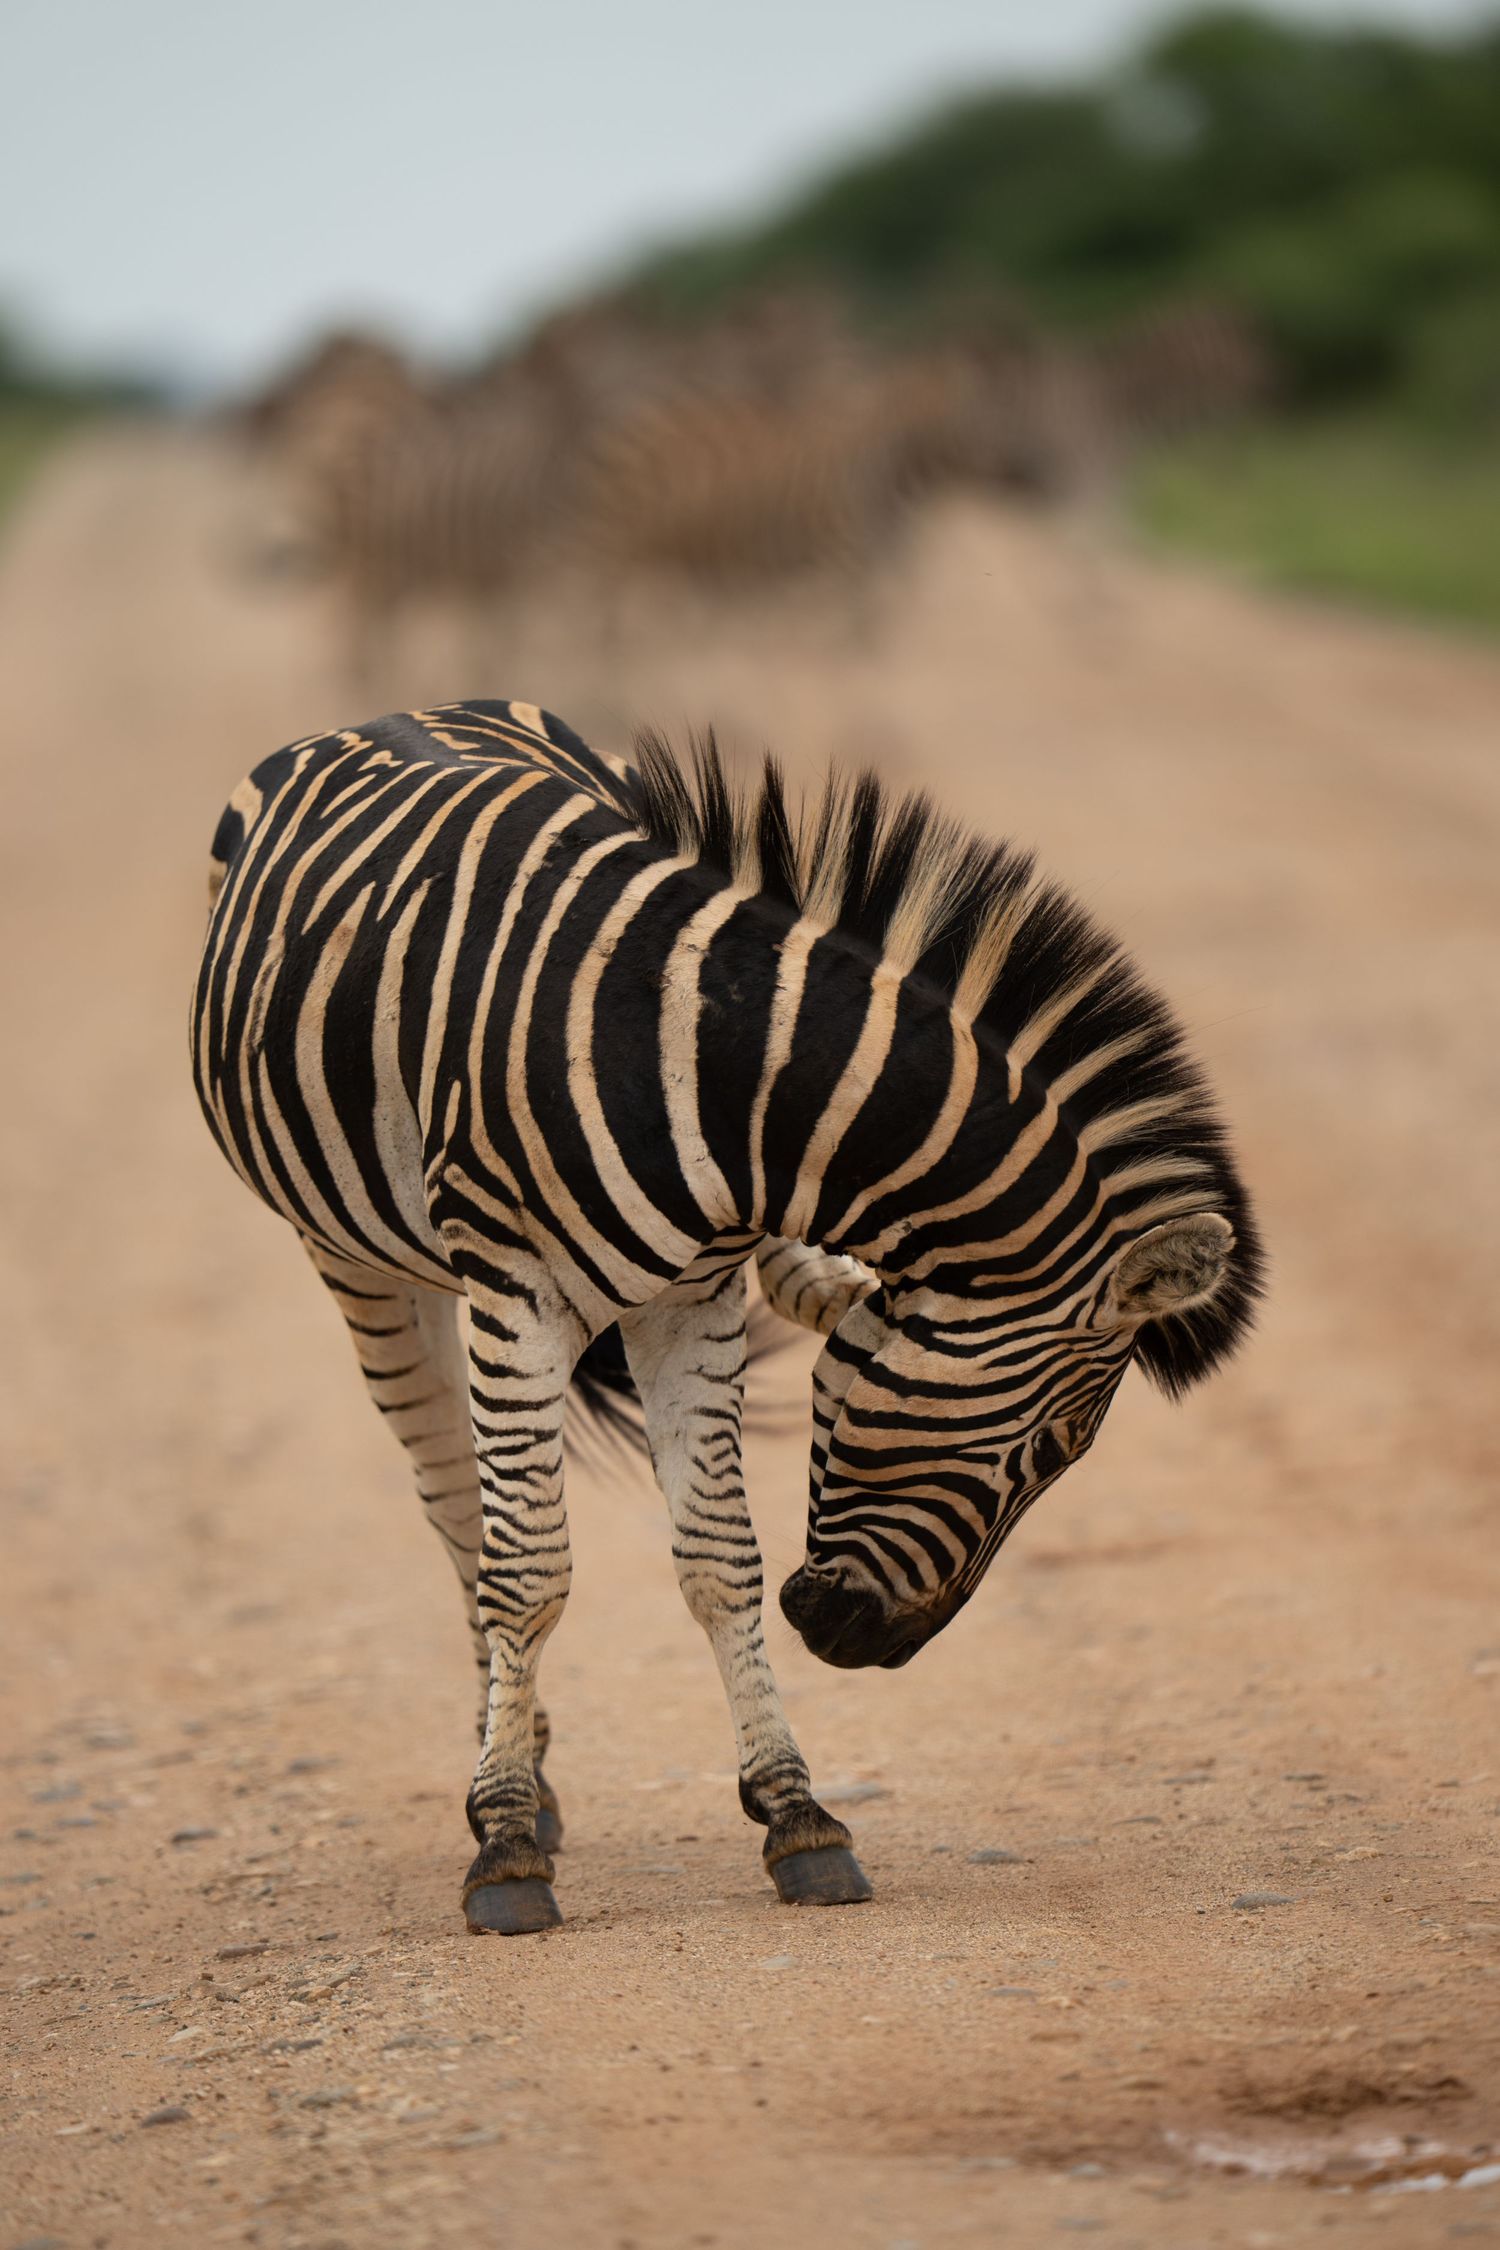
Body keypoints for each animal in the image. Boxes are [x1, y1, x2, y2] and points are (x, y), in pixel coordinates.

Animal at [192, 698, 1262, 1934]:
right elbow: (529, 1569)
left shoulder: (692, 1296)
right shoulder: (517, 1289)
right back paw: (519, 1777)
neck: (708, 1057)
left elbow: (719, 1558)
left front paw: (798, 1816)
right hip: (357, 1259)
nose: (871, 1649)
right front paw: (504, 1844)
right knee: (457, 1508)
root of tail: (399, 712)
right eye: (1053, 1445)